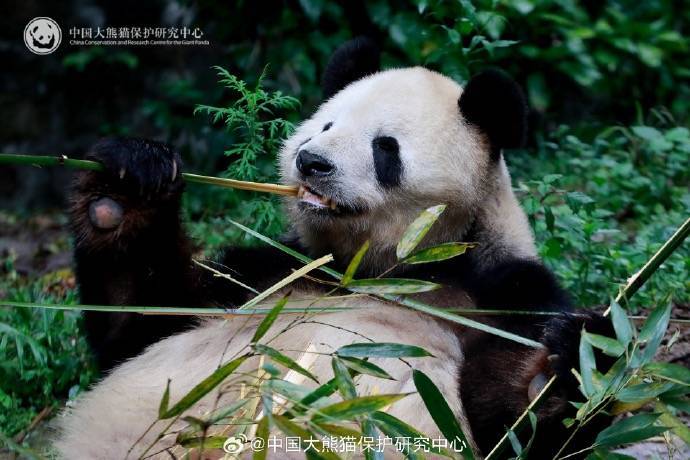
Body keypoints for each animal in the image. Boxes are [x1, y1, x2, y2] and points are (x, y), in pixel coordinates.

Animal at [56, 38, 612, 456]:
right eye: (326, 125)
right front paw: (124, 187)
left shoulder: (503, 291)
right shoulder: (274, 273)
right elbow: (140, 324)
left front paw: (564, 366)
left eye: (385, 147)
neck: (387, 268)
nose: (312, 162)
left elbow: (513, 432)